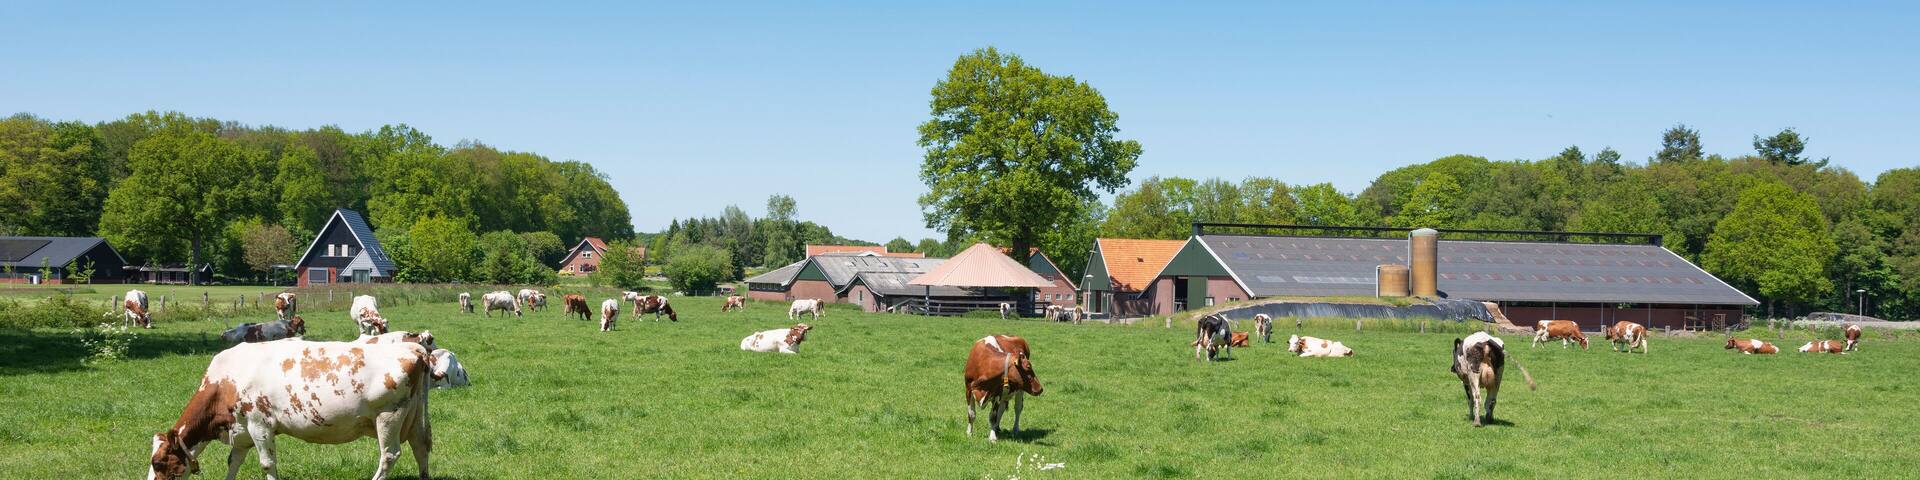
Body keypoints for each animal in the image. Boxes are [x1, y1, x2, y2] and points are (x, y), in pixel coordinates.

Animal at [145, 340, 436, 480]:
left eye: (158, 463)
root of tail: (413, 347)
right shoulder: (241, 430)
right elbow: (234, 461)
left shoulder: (259, 423)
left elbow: (266, 463)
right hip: (414, 417)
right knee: (420, 446)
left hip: (389, 416)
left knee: (389, 455)